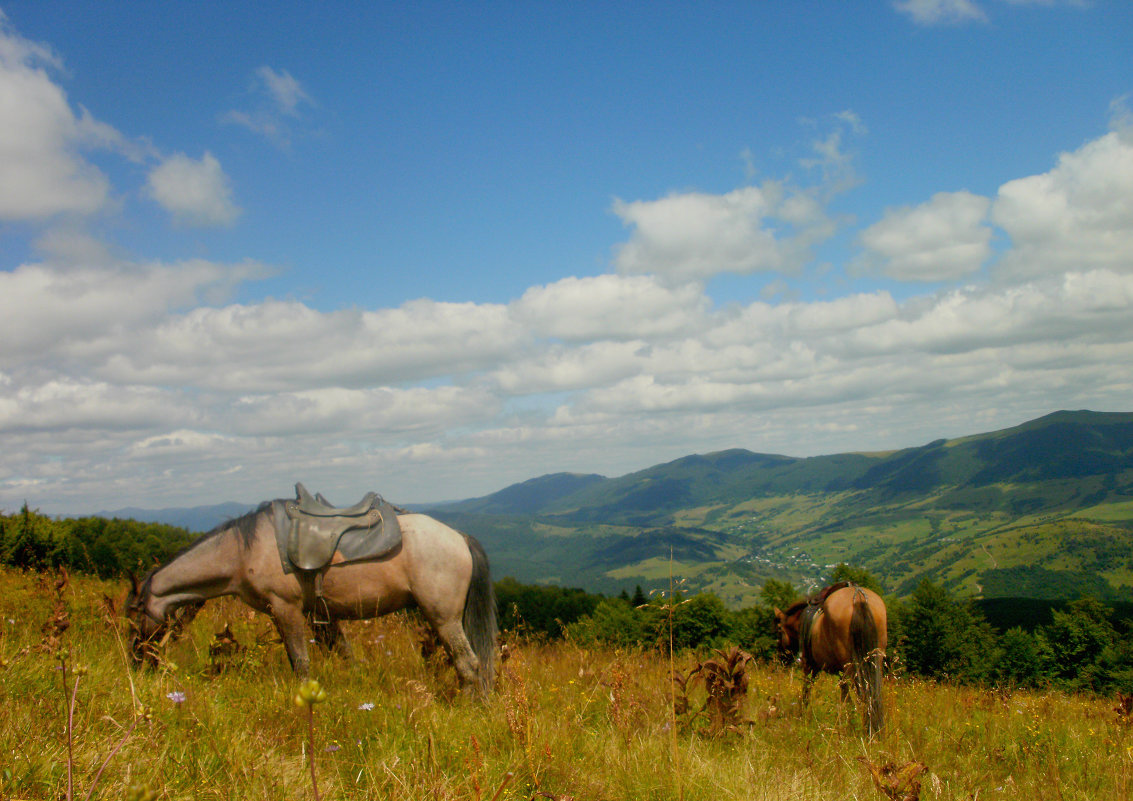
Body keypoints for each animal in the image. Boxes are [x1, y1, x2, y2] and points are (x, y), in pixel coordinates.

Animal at [125, 493, 496, 693]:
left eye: (133, 617)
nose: (137, 663)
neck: (241, 552)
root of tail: (460, 537)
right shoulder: (322, 615)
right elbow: (345, 657)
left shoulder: (285, 609)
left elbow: (300, 662)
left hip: (443, 618)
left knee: (468, 663)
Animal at [774, 584, 888, 734]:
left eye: (779, 630)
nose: (781, 657)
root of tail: (858, 596)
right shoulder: (840, 674)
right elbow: (845, 696)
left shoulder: (809, 666)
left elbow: (806, 691)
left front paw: (801, 717)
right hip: (874, 661)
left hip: (852, 667)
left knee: (862, 694)